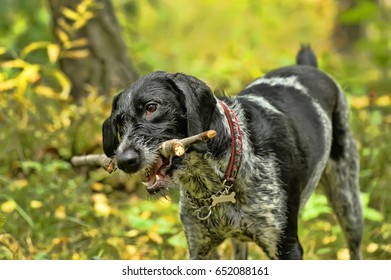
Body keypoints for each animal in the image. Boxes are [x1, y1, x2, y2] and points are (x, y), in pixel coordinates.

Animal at [102, 46, 364, 260]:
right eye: (119, 122)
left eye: (151, 107)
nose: (124, 161)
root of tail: (309, 66)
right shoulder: (200, 249)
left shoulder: (286, 248)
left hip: (348, 204)